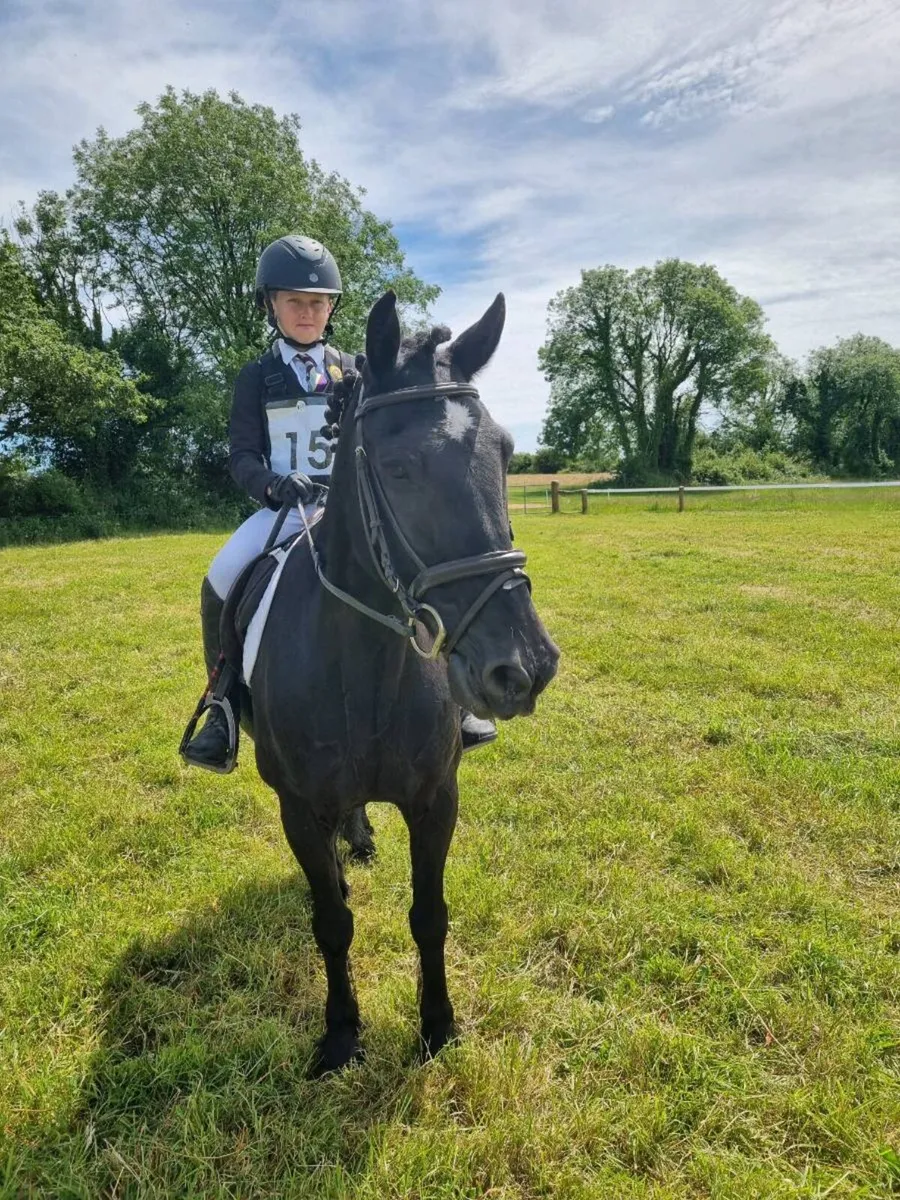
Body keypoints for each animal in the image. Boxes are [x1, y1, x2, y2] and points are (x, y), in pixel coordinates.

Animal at [243, 289, 559, 1074]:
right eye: (398, 467)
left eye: (504, 454)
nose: (524, 668)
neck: (365, 667)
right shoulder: (298, 808)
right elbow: (332, 920)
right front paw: (340, 1035)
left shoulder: (435, 798)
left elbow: (429, 915)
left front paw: (438, 1027)